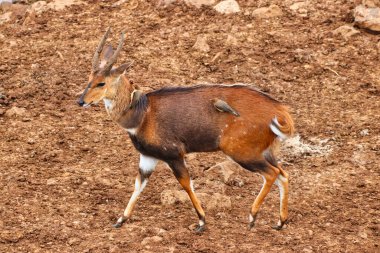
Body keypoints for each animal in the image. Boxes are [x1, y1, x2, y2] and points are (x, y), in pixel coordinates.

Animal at [78, 27, 296, 231]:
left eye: (101, 83)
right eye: (88, 78)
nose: (80, 101)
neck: (142, 114)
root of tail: (279, 110)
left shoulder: (174, 154)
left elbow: (186, 183)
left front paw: (201, 221)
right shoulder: (148, 157)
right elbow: (138, 184)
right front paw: (120, 220)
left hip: (242, 152)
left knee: (272, 174)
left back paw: (252, 217)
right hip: (264, 152)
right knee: (283, 174)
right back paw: (280, 221)